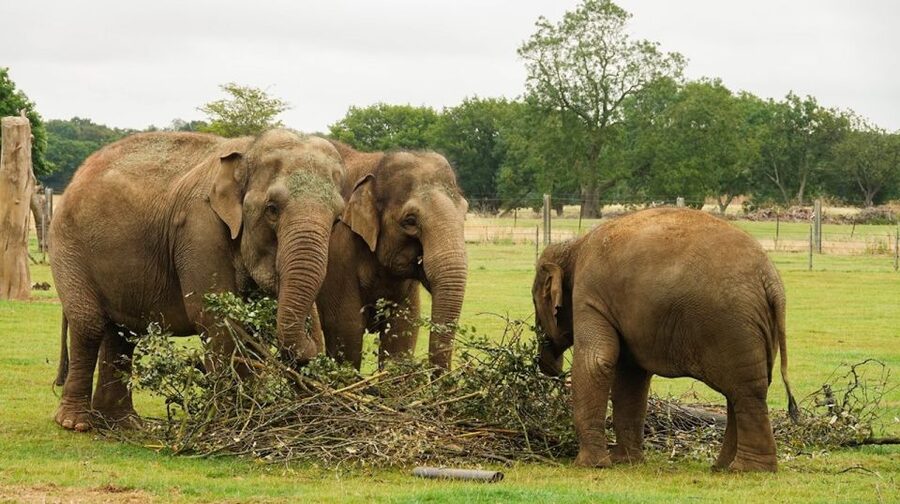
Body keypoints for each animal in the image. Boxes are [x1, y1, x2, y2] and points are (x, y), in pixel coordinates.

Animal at [50, 129, 345, 431]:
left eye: (337, 220)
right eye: (272, 209)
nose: (313, 352)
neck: (249, 148)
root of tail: (78, 174)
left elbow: (248, 328)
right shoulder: (199, 228)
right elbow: (217, 320)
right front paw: (231, 422)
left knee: (122, 333)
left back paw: (124, 424)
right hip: (67, 246)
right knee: (89, 324)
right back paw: (75, 423)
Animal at [315, 141, 468, 371]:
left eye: (465, 213)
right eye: (410, 221)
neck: (375, 163)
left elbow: (401, 334)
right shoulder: (337, 251)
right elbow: (346, 331)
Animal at [533, 207, 799, 472]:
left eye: (535, 302)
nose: (549, 367)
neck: (574, 246)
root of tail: (771, 281)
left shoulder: (589, 294)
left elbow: (596, 363)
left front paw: (591, 465)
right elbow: (631, 375)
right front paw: (626, 461)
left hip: (733, 325)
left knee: (745, 391)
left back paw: (747, 469)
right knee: (743, 390)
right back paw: (724, 467)